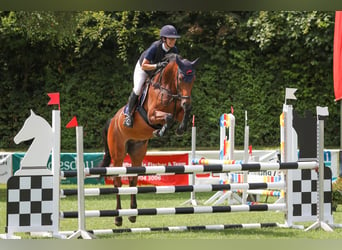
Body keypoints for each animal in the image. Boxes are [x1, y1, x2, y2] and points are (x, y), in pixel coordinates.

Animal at [97, 53, 199, 228]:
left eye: (193, 79)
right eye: (180, 78)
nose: (186, 101)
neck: (168, 88)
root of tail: (112, 120)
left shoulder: (179, 110)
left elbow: (183, 113)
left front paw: (180, 128)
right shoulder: (151, 115)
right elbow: (168, 117)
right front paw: (160, 131)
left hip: (137, 150)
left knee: (133, 179)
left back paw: (132, 214)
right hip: (118, 153)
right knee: (117, 181)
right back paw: (118, 218)